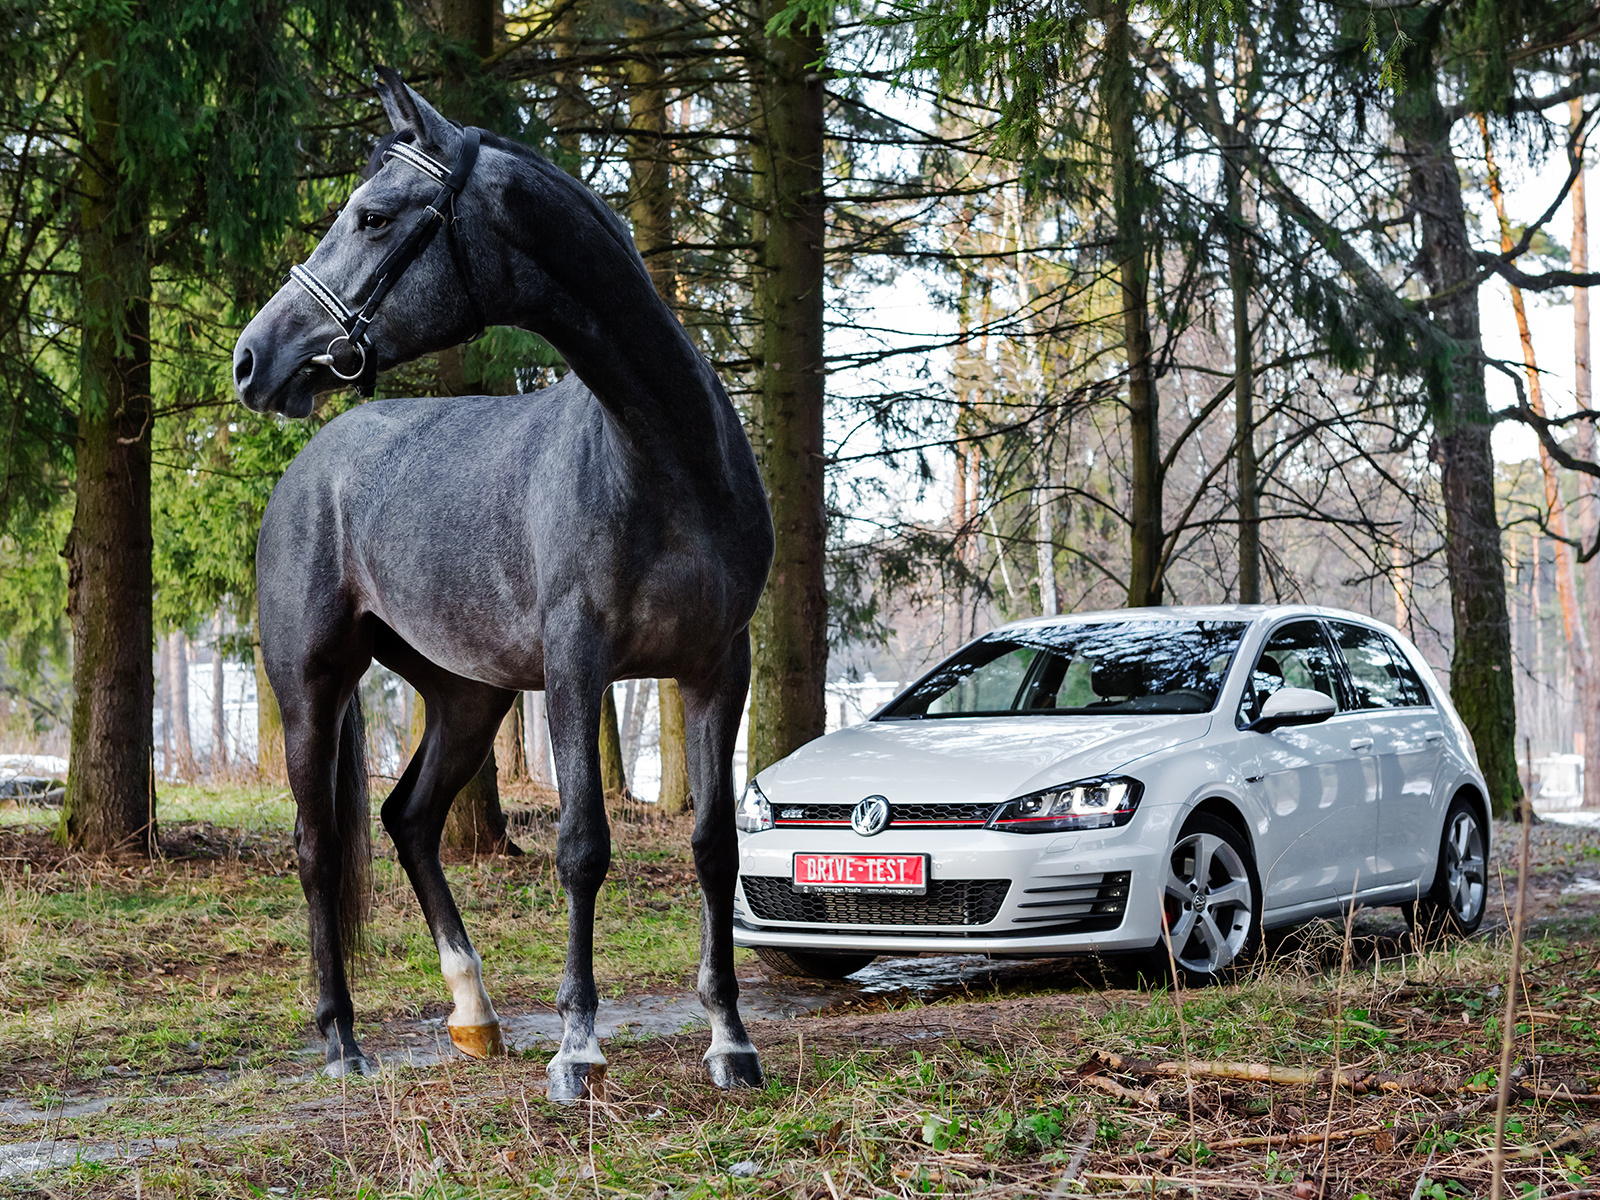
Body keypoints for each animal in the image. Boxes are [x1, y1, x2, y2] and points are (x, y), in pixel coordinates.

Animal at [228, 63, 771, 1100]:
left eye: (373, 217)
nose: (253, 358)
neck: (662, 455)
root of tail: (313, 463)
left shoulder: (720, 667)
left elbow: (714, 848)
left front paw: (730, 1039)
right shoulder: (576, 666)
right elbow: (582, 846)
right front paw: (578, 1047)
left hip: (467, 695)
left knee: (407, 820)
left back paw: (474, 1013)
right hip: (311, 685)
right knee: (319, 849)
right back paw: (342, 1040)